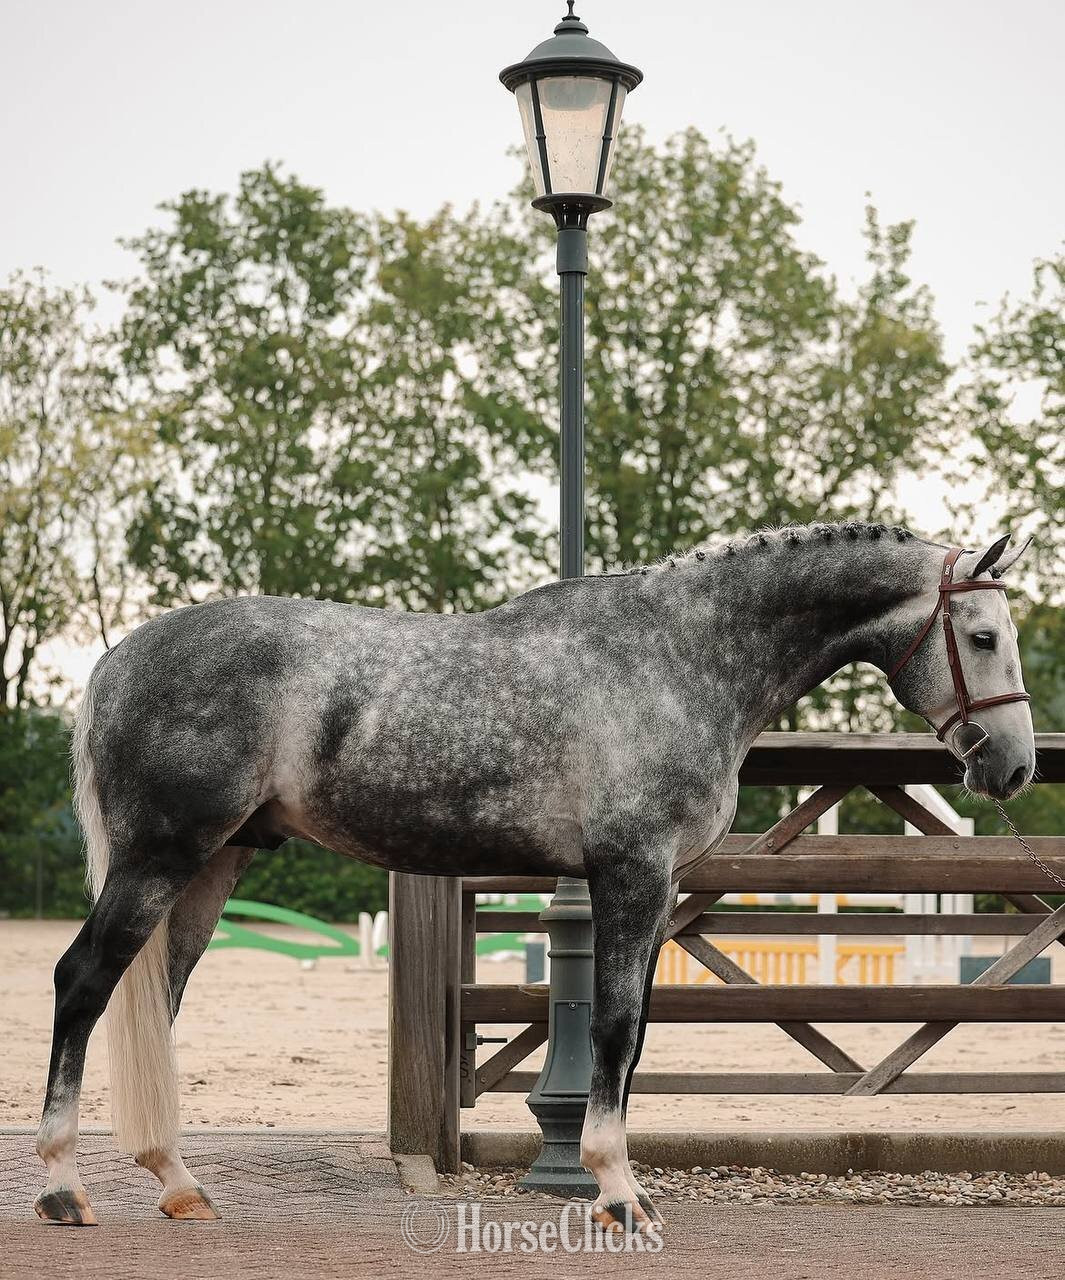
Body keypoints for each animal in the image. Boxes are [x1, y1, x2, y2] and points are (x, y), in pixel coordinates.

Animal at [34, 522, 1035, 1230]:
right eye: (983, 635)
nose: (1014, 767)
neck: (679, 656)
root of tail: (118, 659)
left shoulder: (653, 889)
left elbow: (633, 1034)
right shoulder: (632, 873)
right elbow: (616, 1030)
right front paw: (617, 1194)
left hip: (212, 865)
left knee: (155, 1002)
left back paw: (177, 1182)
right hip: (161, 858)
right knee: (83, 982)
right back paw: (62, 1186)